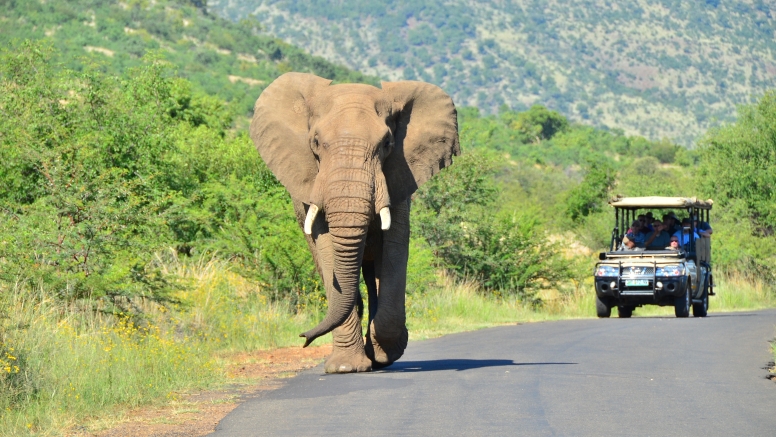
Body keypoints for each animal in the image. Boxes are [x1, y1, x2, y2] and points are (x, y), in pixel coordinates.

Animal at [250, 71, 460, 372]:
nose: (303, 337)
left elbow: (394, 248)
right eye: (315, 143)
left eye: (387, 144)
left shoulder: (398, 177)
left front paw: (385, 353)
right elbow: (326, 248)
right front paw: (345, 368)